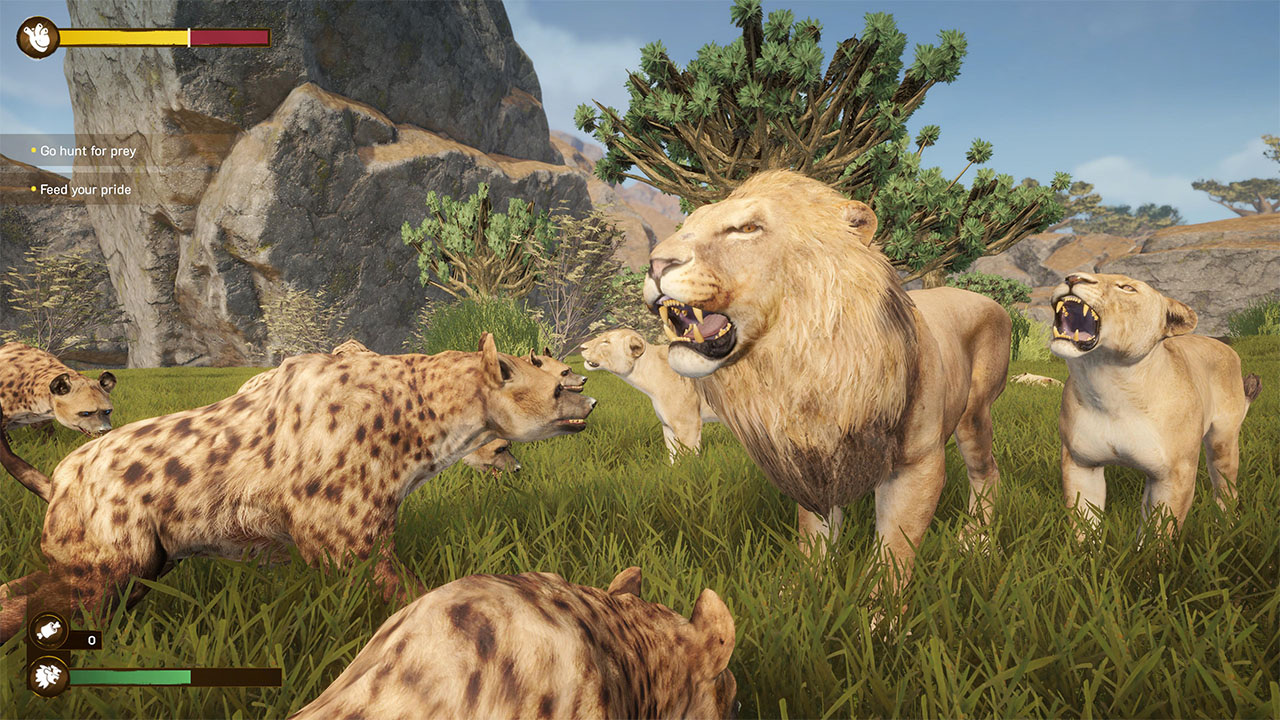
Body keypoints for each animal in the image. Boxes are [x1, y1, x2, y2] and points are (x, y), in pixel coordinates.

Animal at [579, 329, 718, 461]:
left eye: (606, 342)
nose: (582, 347)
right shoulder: (667, 426)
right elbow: (673, 457)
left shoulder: (688, 425)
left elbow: (687, 460)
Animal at [642, 169, 1011, 591]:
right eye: (687, 224)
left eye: (747, 228)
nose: (656, 264)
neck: (807, 370)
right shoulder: (813, 461)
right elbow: (813, 541)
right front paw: (798, 594)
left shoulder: (917, 465)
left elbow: (894, 555)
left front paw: (880, 610)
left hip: (974, 415)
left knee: (987, 471)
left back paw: (977, 543)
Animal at [1050, 272, 1262, 539]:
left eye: (1127, 288)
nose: (1073, 278)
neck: (1109, 387)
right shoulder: (1081, 464)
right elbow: (1084, 526)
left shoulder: (1174, 475)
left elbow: (1159, 534)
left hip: (1223, 442)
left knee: (1226, 488)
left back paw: (1224, 529)